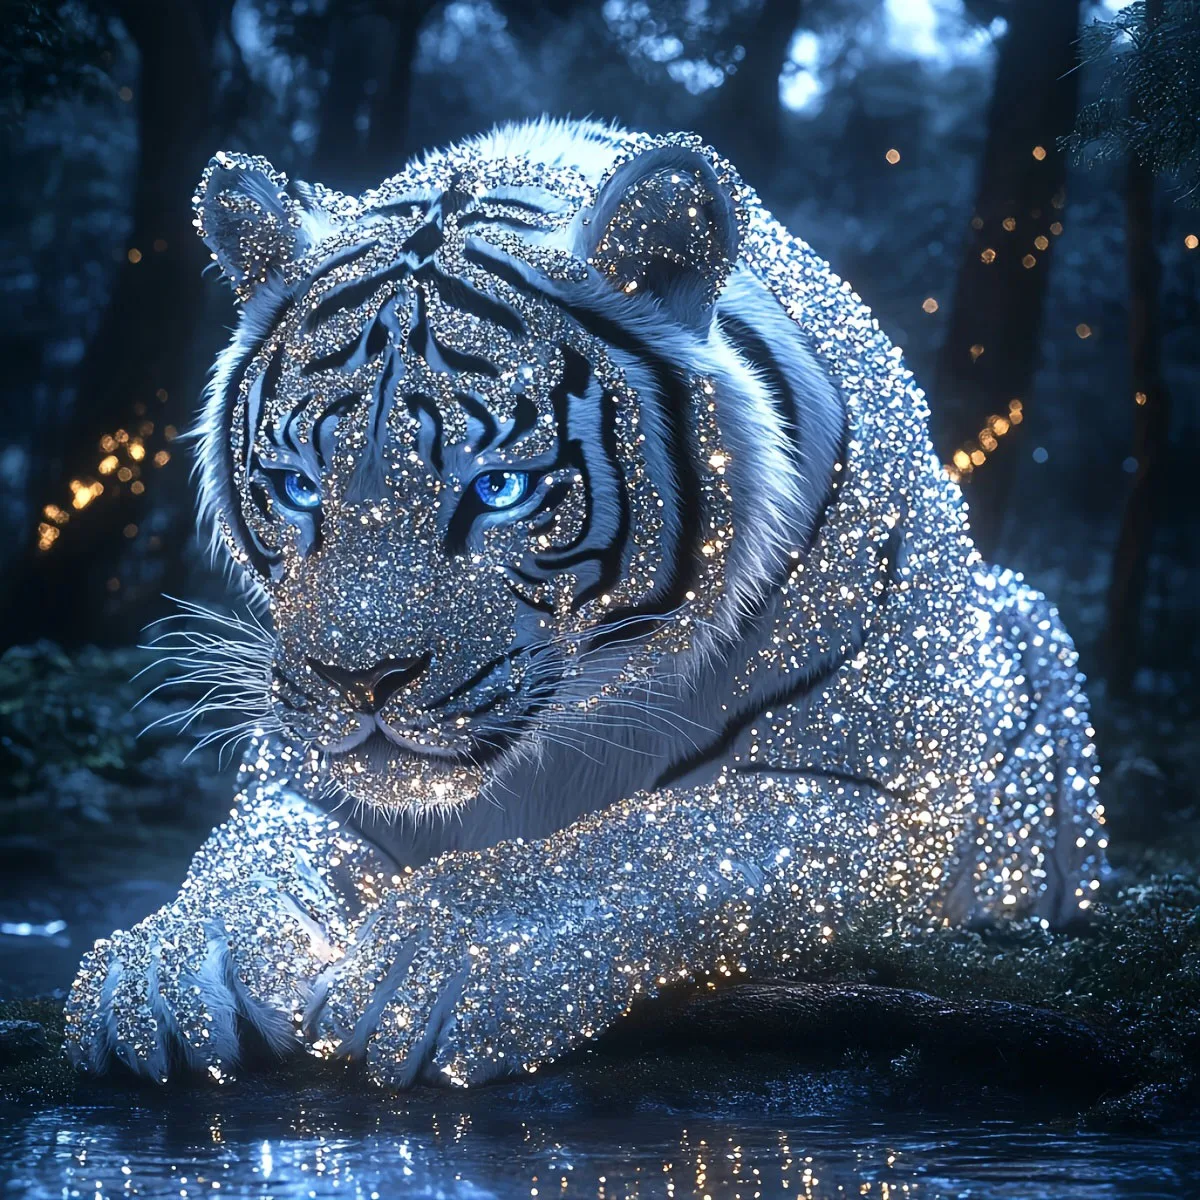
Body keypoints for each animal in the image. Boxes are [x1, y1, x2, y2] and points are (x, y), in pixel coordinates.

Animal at [64, 118, 1107, 1089]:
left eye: (499, 489)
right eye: (297, 487)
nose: (357, 682)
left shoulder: (892, 797)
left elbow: (662, 842)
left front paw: (438, 962)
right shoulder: (302, 774)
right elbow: (248, 857)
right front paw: (164, 967)